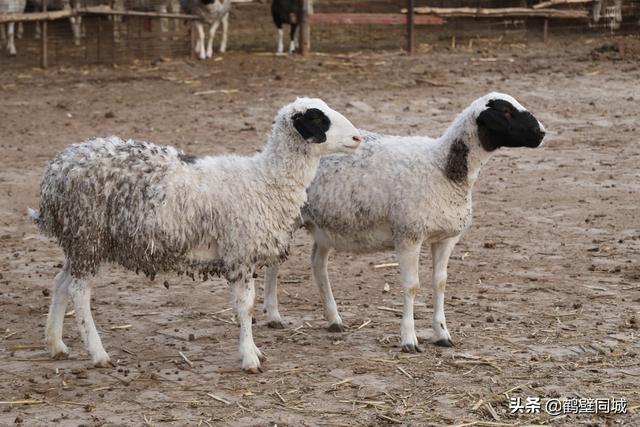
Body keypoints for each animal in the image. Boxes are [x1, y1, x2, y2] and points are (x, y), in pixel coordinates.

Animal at [31, 98, 360, 372]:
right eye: (318, 118)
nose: (357, 138)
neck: (265, 179)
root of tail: (57, 170)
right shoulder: (240, 252)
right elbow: (246, 306)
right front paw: (249, 357)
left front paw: (254, 351)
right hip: (89, 234)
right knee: (79, 291)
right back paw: (98, 354)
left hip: (78, 239)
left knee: (61, 283)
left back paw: (56, 344)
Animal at [262, 92, 548, 352]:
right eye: (506, 112)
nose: (541, 133)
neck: (443, 168)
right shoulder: (409, 235)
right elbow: (412, 286)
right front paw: (409, 339)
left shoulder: (446, 238)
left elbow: (440, 282)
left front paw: (442, 334)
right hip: (286, 218)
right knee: (274, 264)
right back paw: (273, 315)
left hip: (326, 226)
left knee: (318, 264)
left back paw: (334, 319)